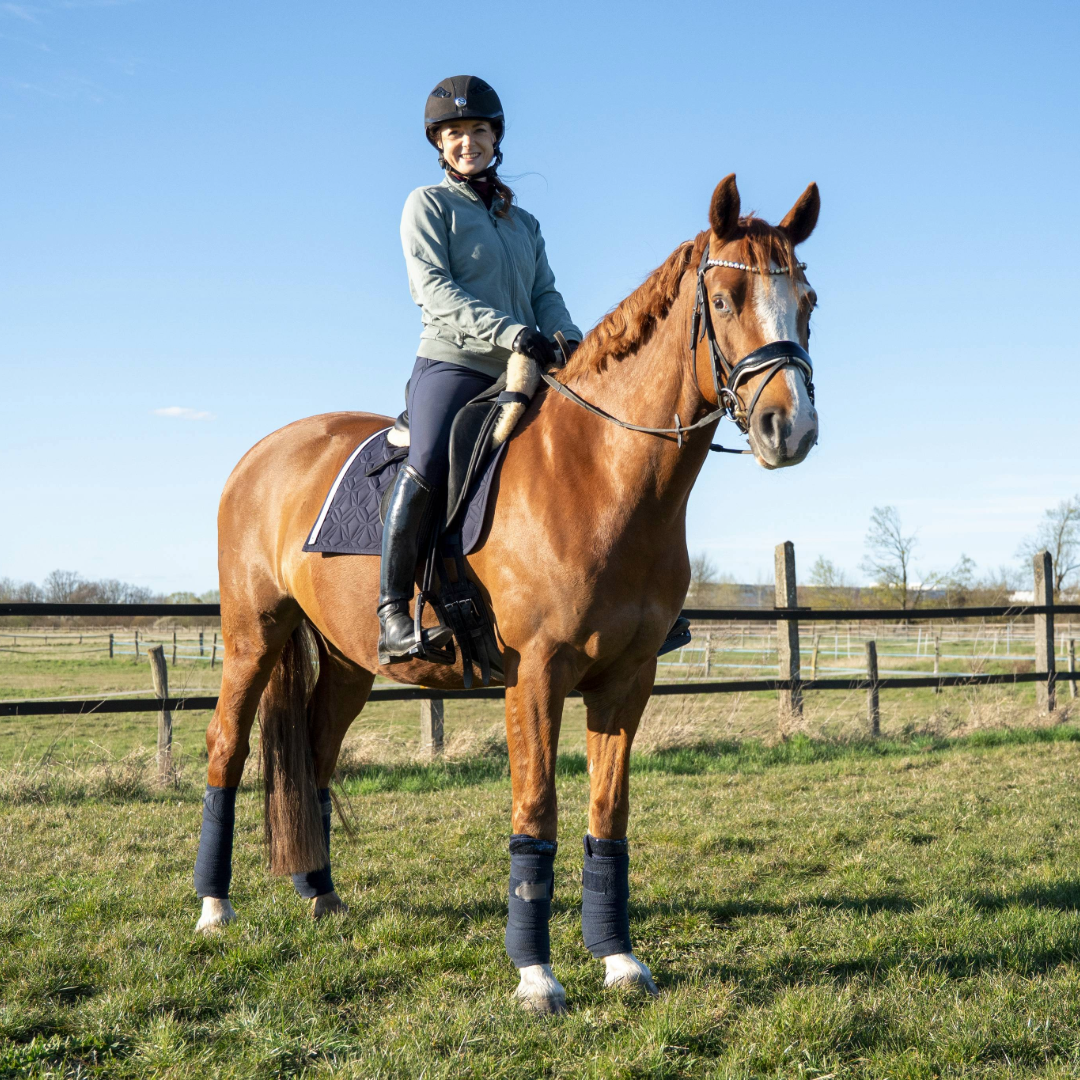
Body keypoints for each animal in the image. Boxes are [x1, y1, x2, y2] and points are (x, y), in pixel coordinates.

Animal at [192, 173, 820, 1014]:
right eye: (722, 299)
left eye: (808, 301)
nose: (791, 428)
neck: (598, 474)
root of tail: (264, 452)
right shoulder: (537, 675)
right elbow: (537, 810)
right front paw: (536, 974)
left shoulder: (628, 679)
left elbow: (607, 815)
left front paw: (619, 959)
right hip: (253, 635)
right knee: (225, 748)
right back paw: (213, 907)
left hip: (350, 661)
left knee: (317, 755)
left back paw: (320, 892)